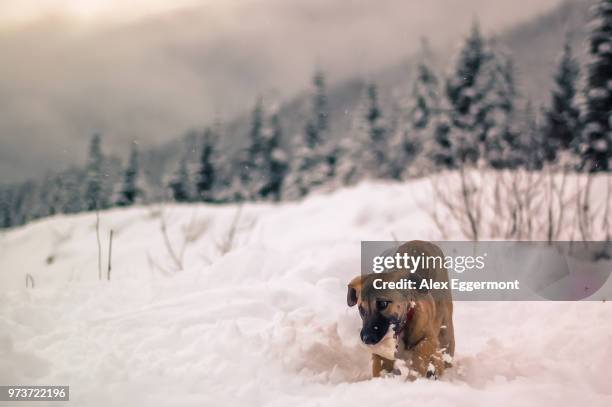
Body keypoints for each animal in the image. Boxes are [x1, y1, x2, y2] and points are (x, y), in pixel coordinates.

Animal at [346, 242, 452, 380]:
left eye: (383, 304)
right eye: (361, 309)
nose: (366, 338)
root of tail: (420, 241)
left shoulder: (430, 339)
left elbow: (421, 349)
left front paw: (417, 372)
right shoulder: (380, 355)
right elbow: (378, 366)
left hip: (446, 332)